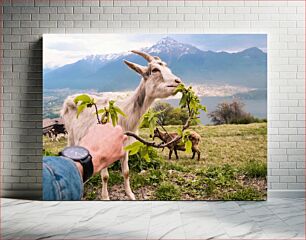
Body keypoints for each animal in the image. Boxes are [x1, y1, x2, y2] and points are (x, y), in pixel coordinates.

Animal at [61, 49, 183, 200]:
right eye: (155, 69)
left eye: (167, 67)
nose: (178, 82)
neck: (125, 115)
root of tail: (69, 99)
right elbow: (105, 176)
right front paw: (105, 197)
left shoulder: (125, 147)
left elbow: (126, 172)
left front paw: (130, 194)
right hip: (70, 134)